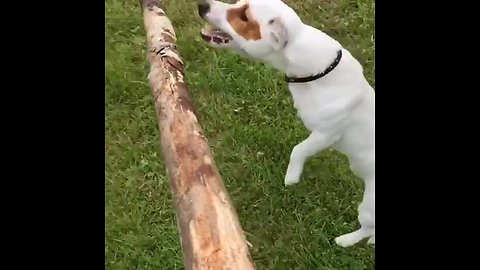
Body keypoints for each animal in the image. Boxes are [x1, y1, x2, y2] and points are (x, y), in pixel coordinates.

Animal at [198, 0, 376, 247]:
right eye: (238, 4)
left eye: (244, 17)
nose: (202, 5)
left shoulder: (326, 134)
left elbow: (298, 149)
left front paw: (291, 177)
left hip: (368, 207)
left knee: (367, 227)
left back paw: (346, 240)